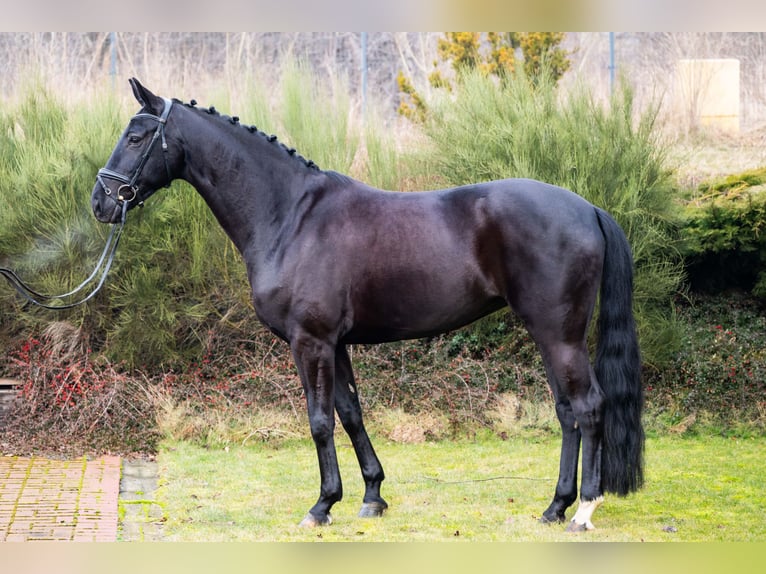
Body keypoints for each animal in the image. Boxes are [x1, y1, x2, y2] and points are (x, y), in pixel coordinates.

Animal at [91, 78, 644, 531]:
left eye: (136, 136)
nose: (101, 202)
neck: (290, 217)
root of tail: (587, 208)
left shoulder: (310, 342)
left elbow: (319, 420)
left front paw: (321, 506)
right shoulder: (335, 345)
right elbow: (351, 413)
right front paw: (372, 496)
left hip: (559, 334)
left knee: (589, 407)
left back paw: (584, 511)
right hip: (549, 334)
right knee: (567, 412)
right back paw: (555, 507)